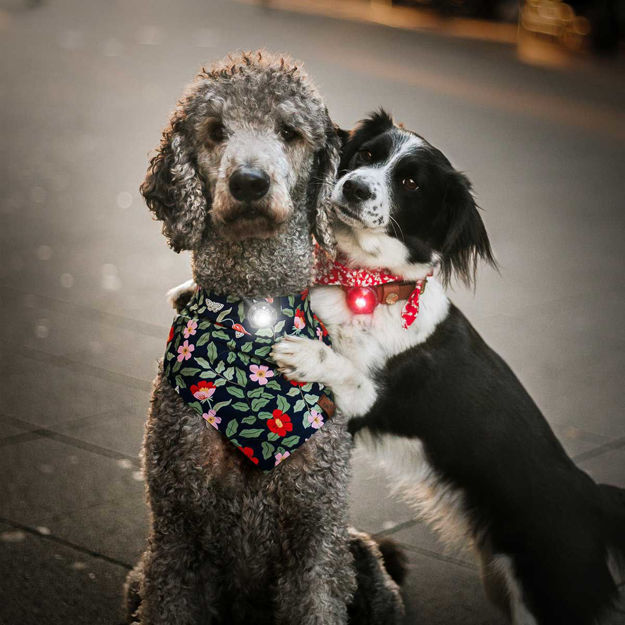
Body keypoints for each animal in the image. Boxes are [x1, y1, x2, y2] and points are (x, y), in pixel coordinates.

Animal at [272, 111, 624, 624]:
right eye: (367, 155)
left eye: (411, 183)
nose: (354, 187)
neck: (367, 286)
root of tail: (593, 499)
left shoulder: (366, 403)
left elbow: (344, 366)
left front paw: (303, 353)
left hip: (545, 594)